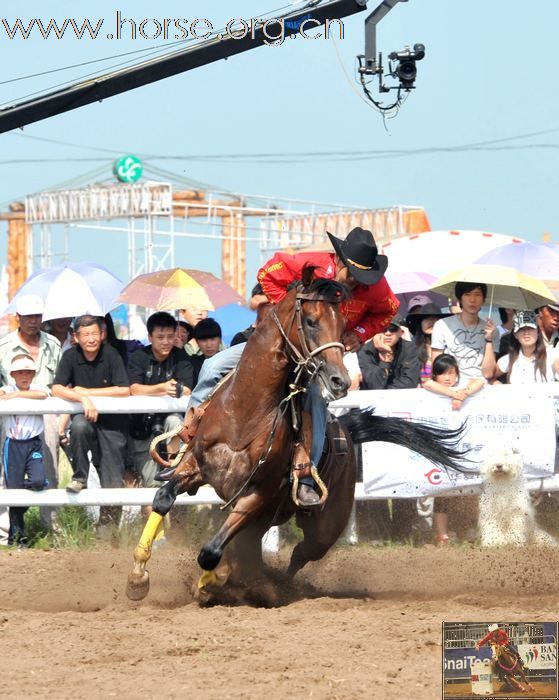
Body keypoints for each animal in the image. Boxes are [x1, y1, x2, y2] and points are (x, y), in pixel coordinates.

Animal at [126, 270, 464, 604]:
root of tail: (348, 432)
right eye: (311, 321)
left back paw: (273, 586)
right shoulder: (195, 468)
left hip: (322, 526)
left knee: (299, 554)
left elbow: (211, 552)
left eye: (342, 326)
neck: (245, 412)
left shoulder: (256, 494)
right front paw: (138, 577)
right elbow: (163, 499)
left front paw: (209, 584)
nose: (340, 380)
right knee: (254, 552)